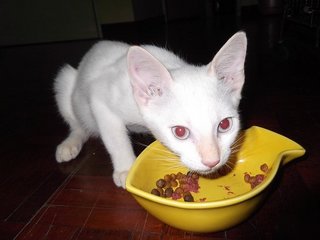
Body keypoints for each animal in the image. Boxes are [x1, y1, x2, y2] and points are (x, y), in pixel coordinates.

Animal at [53, 31, 248, 188]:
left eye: (225, 124)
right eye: (180, 132)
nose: (212, 161)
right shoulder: (100, 98)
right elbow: (115, 138)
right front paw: (126, 168)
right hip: (65, 80)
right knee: (78, 124)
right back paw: (70, 143)